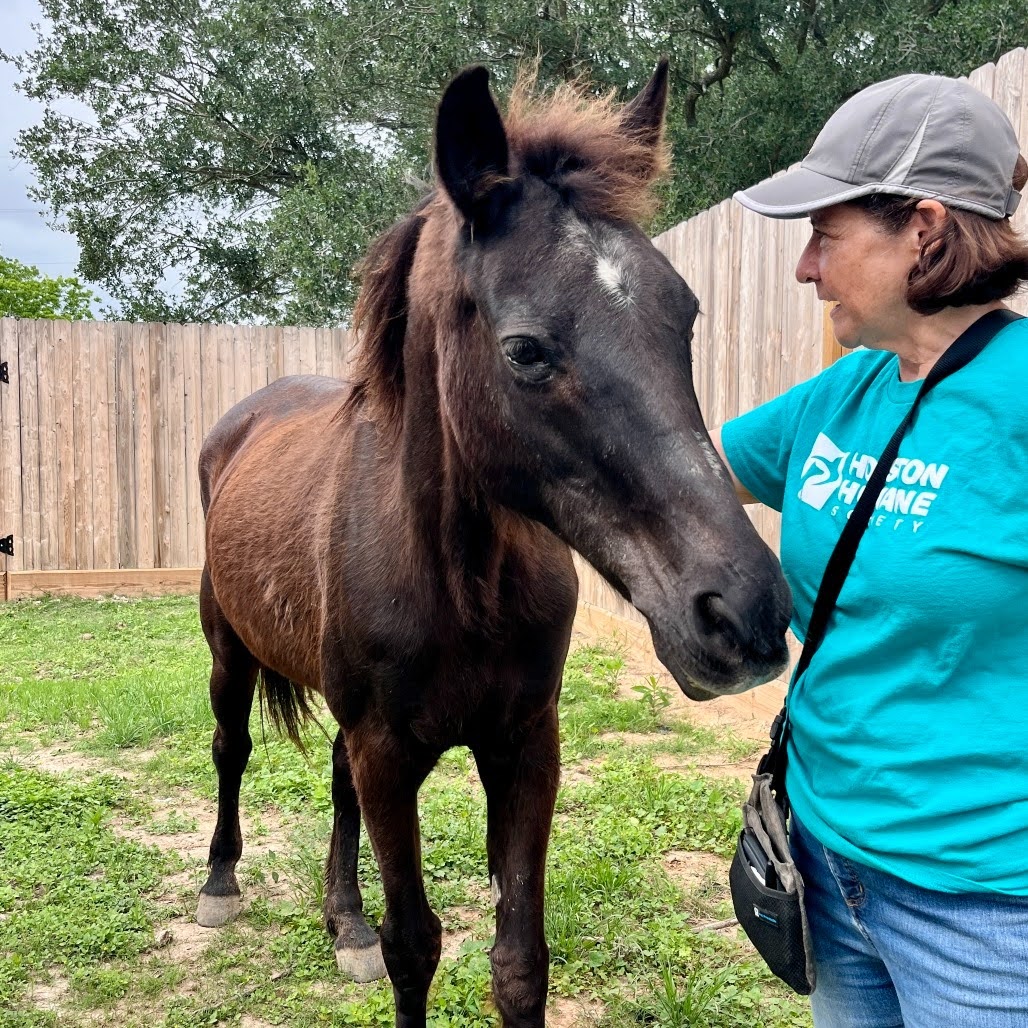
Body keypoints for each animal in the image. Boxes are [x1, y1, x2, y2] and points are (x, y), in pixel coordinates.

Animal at [196, 61, 791, 1028]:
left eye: (686, 317)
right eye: (525, 350)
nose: (746, 617)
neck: (460, 583)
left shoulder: (523, 747)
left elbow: (518, 960)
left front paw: (368, 930)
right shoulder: (389, 754)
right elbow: (414, 946)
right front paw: (374, 938)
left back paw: (342, 920)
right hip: (227, 647)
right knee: (230, 748)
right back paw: (220, 885)